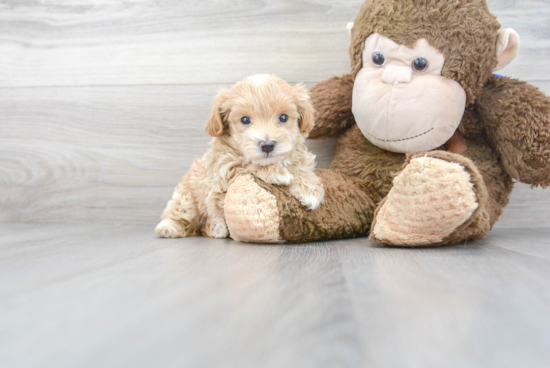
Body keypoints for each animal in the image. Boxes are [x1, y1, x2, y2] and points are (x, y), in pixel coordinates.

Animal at [155, 75, 326, 239]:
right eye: (245, 120)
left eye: (283, 117)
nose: (267, 145)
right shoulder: (224, 172)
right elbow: (249, 165)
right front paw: (278, 173)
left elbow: (300, 167)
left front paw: (309, 190)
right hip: (188, 196)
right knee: (183, 214)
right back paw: (168, 227)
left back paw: (217, 227)